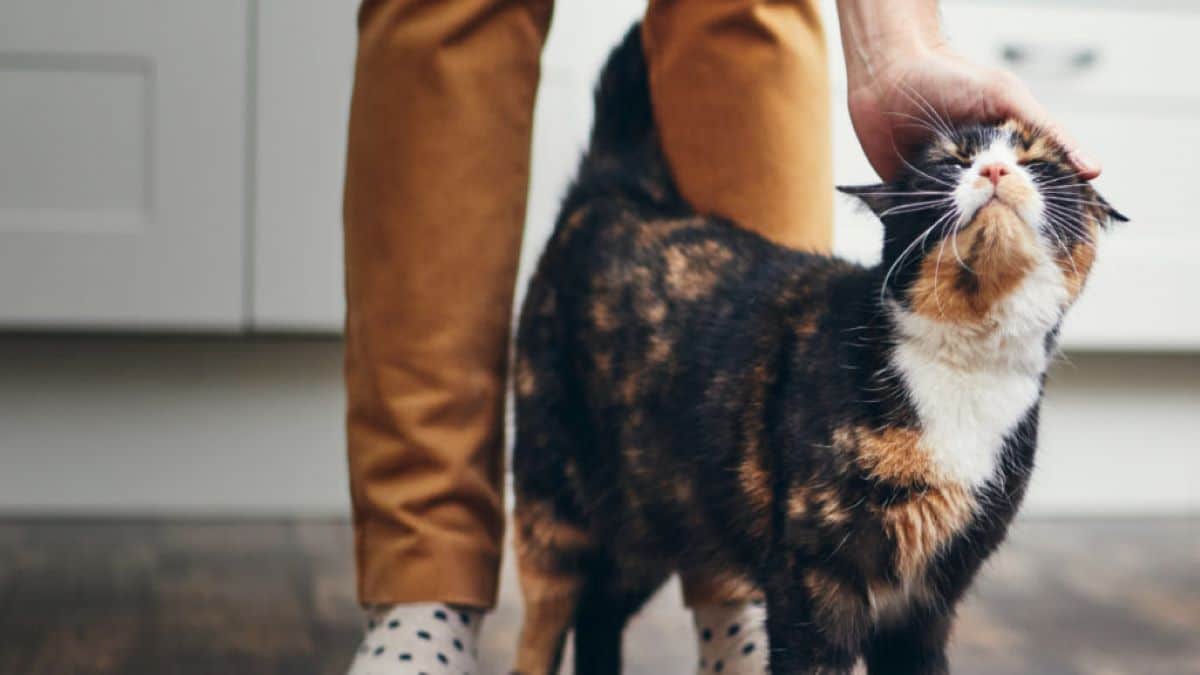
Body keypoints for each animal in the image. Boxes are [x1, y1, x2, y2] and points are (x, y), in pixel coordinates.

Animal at [506, 23, 1123, 667]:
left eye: (1038, 161)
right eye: (950, 161)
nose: (997, 171)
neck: (964, 363)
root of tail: (619, 192)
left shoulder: (927, 603)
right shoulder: (814, 580)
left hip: (656, 514)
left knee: (600, 610)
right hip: (554, 504)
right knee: (546, 624)